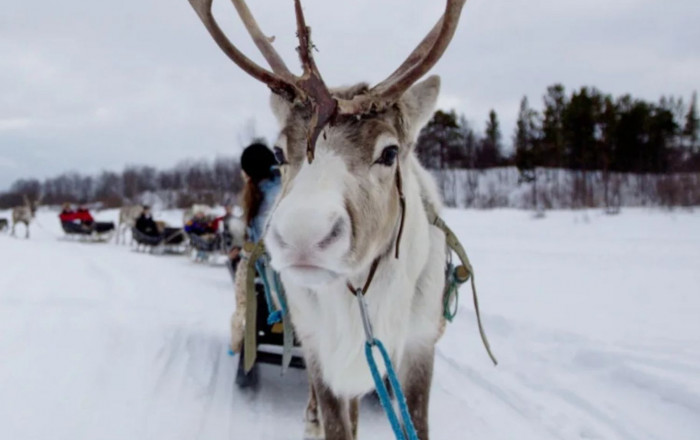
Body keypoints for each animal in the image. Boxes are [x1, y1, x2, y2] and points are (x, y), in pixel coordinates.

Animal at [188, 0, 468, 438]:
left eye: (390, 152)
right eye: (279, 152)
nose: (303, 237)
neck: (361, 298)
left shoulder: (419, 343)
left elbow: (416, 422)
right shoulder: (321, 350)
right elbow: (337, 423)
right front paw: (318, 419)